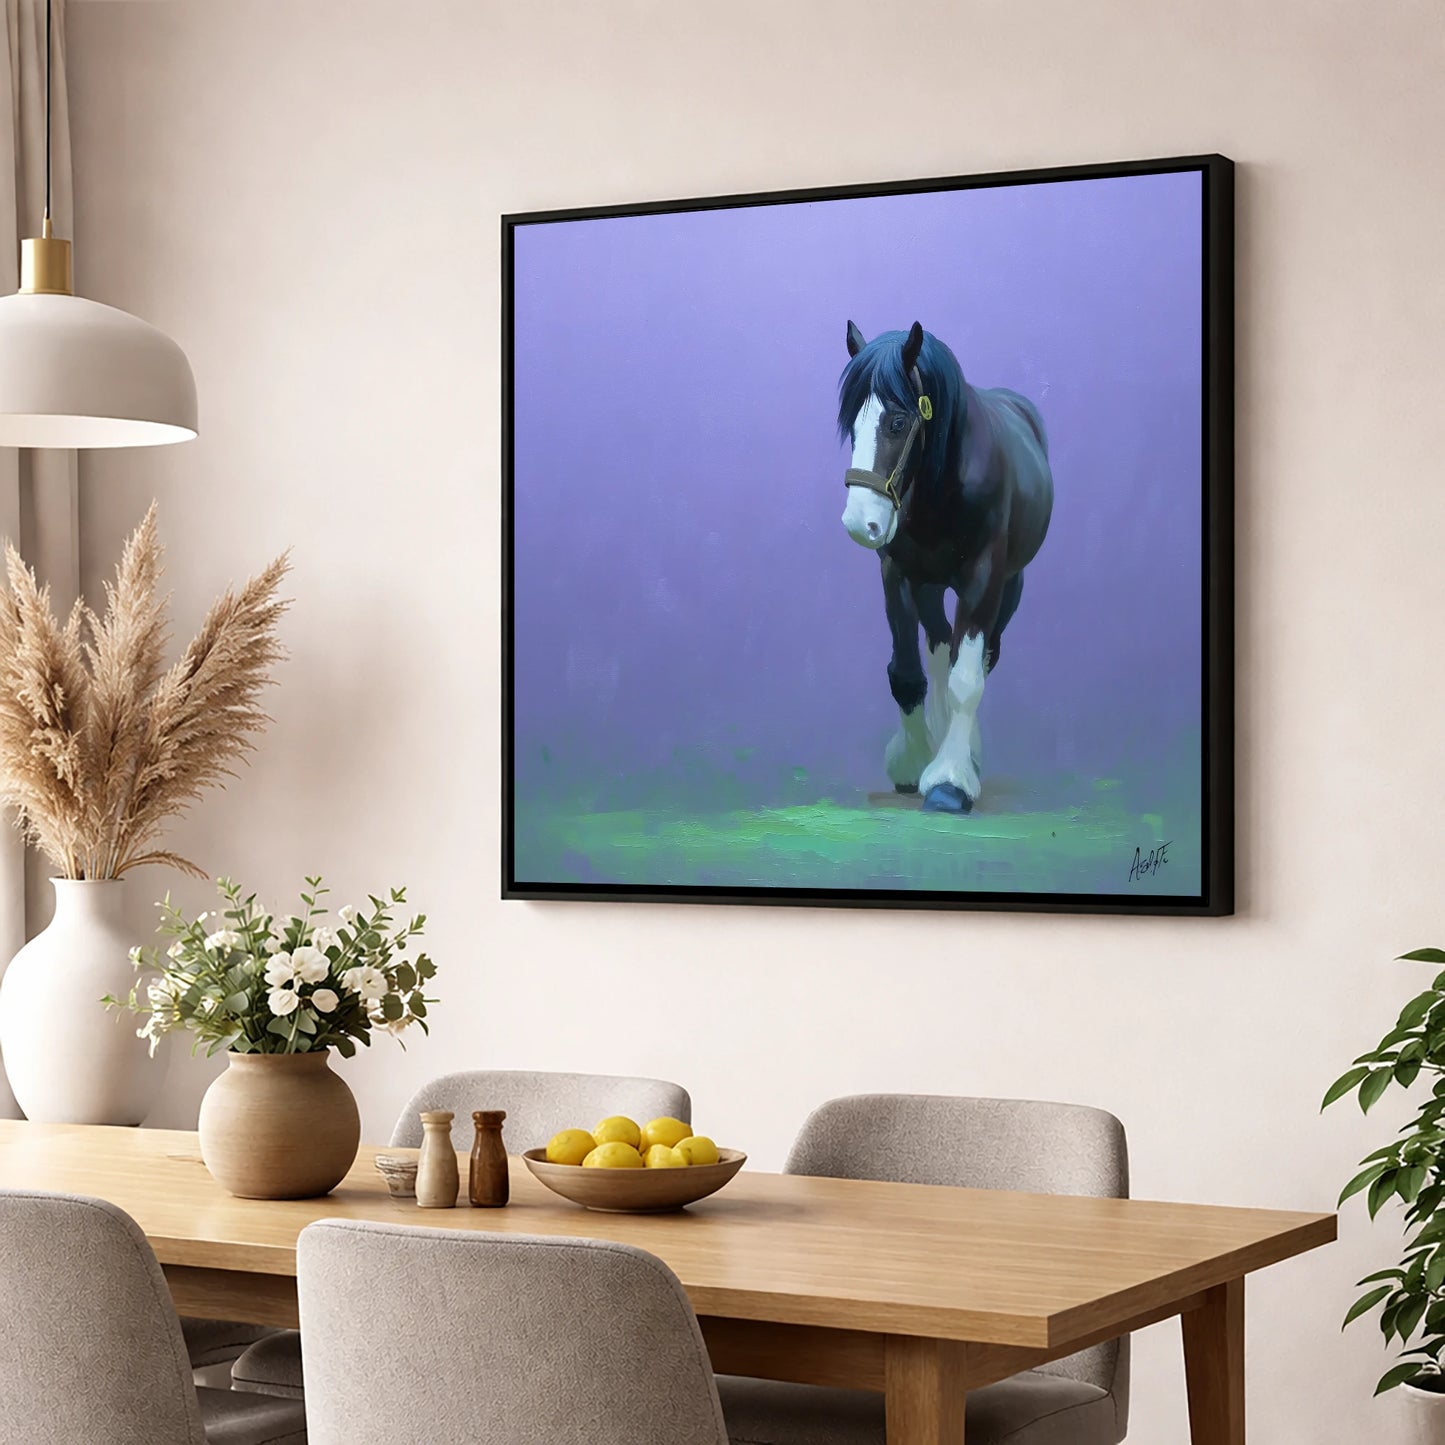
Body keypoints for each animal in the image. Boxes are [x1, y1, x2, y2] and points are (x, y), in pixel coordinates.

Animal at [838, 320, 1053, 814]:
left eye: (898, 422)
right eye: (850, 425)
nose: (861, 522)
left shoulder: (984, 579)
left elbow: (967, 678)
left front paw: (951, 779)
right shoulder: (898, 574)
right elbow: (907, 674)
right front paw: (913, 761)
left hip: (1009, 586)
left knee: (980, 656)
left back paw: (967, 756)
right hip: (930, 586)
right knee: (938, 649)